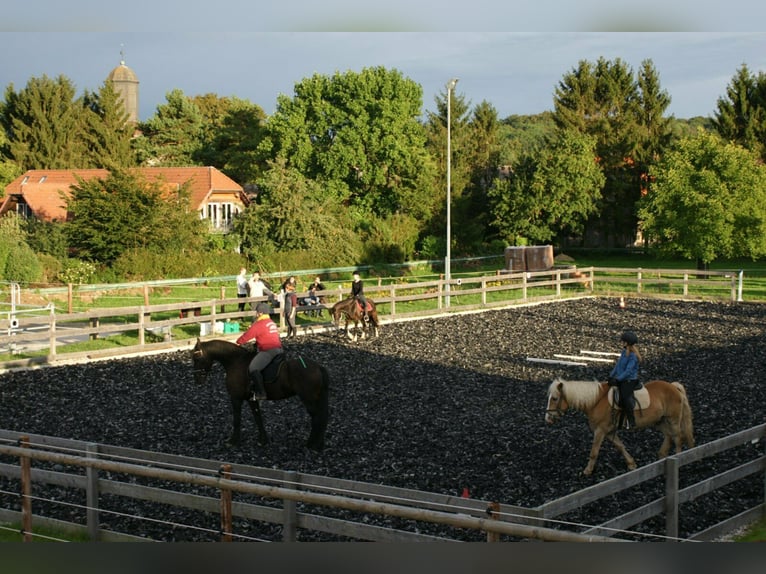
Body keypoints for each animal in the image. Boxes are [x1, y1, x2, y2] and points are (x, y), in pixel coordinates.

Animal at [192, 338, 330, 454]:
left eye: (197, 358)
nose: (197, 380)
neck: (235, 361)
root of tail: (318, 367)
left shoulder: (236, 398)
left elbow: (237, 420)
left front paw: (233, 441)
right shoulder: (251, 399)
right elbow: (258, 418)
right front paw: (263, 440)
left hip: (308, 398)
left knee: (317, 417)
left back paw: (312, 444)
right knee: (321, 417)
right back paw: (319, 444)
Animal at [544, 378, 696, 476]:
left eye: (555, 398)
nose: (547, 419)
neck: (596, 401)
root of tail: (673, 386)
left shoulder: (600, 431)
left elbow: (594, 452)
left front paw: (587, 470)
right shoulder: (609, 432)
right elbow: (620, 446)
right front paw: (631, 464)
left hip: (673, 420)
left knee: (678, 438)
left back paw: (679, 458)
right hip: (660, 421)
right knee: (669, 435)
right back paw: (662, 456)